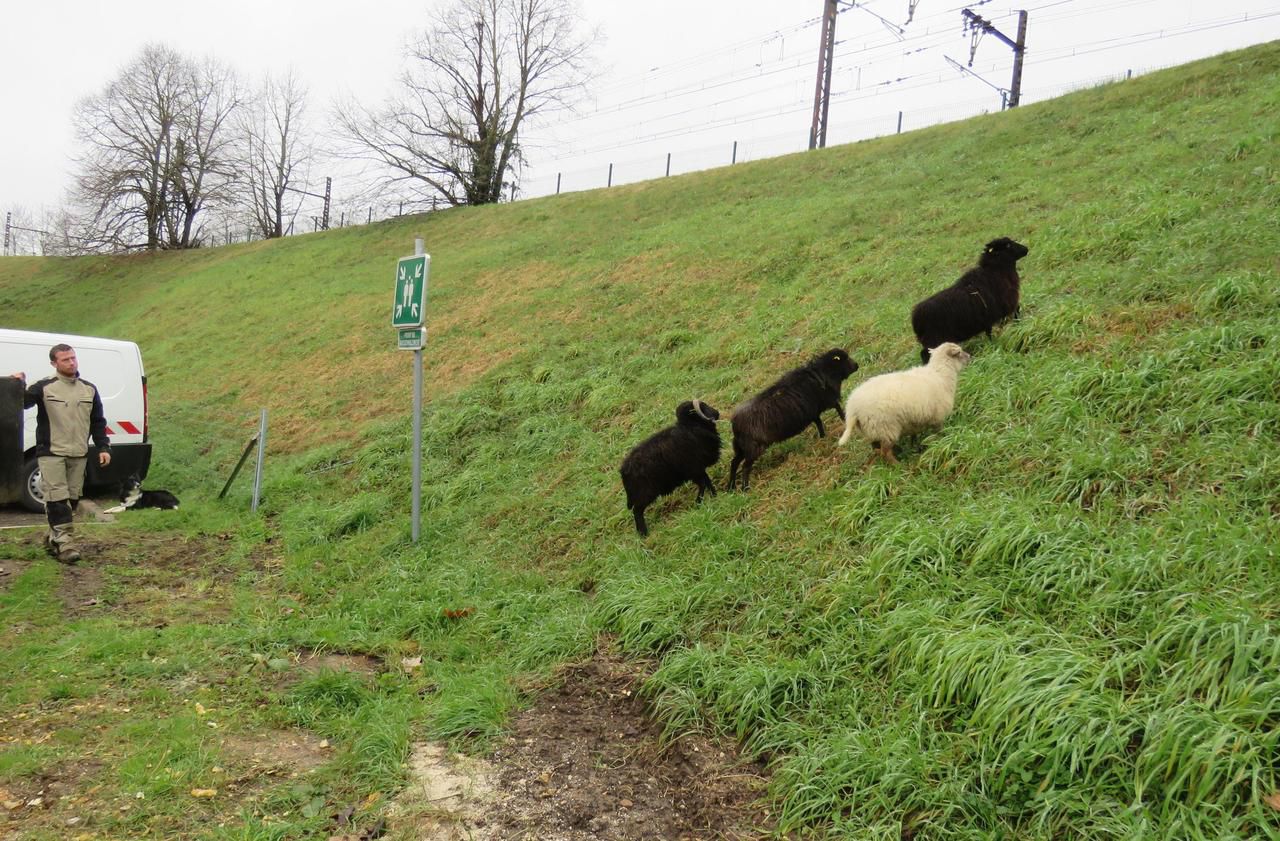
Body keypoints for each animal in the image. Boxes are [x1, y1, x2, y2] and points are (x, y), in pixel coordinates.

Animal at [624, 399, 727, 532]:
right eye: (703, 407)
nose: (717, 413)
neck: (691, 427)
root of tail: (624, 470)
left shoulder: (699, 469)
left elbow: (707, 482)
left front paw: (714, 496)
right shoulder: (694, 470)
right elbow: (703, 484)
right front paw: (698, 503)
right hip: (644, 494)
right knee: (637, 512)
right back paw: (644, 533)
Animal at [727, 348, 855, 491]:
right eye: (845, 358)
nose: (857, 365)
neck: (822, 372)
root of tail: (735, 425)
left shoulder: (813, 410)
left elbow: (818, 422)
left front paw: (822, 436)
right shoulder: (827, 399)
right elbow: (837, 407)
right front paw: (844, 419)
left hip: (742, 447)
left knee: (734, 463)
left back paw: (731, 486)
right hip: (754, 447)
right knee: (745, 467)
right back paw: (745, 487)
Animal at [839, 345, 967, 468]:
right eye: (959, 352)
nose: (969, 356)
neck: (941, 374)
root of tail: (852, 407)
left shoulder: (914, 419)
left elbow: (914, 435)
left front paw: (915, 447)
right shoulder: (937, 417)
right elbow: (940, 432)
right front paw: (943, 439)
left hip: (871, 429)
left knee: (877, 448)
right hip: (886, 427)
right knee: (885, 452)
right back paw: (898, 466)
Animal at [911, 234, 1029, 363]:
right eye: (1007, 245)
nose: (1026, 249)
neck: (995, 272)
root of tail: (915, 317)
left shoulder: (989, 317)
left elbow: (990, 332)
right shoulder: (1005, 305)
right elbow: (1016, 312)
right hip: (934, 339)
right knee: (925, 354)